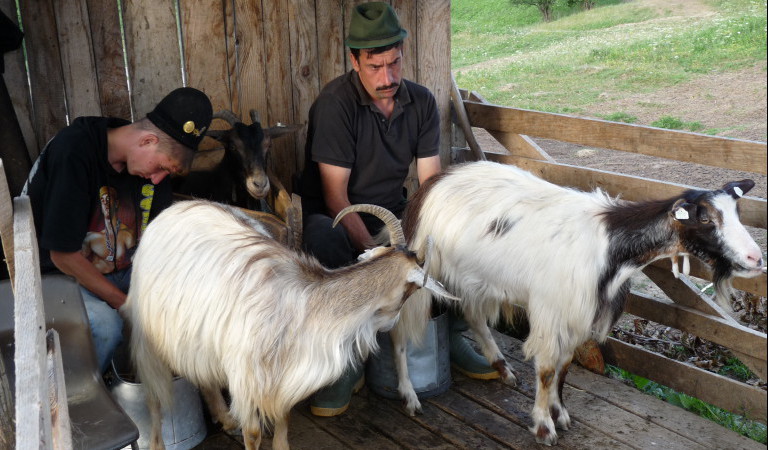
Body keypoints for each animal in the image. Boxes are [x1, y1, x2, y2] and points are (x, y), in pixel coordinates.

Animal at [124, 200, 456, 450]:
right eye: (409, 292)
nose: (392, 323)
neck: (306, 306)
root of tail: (172, 209)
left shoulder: (283, 375)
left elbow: (283, 421)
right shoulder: (247, 378)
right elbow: (253, 433)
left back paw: (226, 419)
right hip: (147, 334)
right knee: (154, 394)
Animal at [392, 160, 764, 444]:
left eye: (737, 212)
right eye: (705, 218)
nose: (755, 258)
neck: (610, 245)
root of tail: (432, 183)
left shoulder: (577, 313)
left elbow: (565, 365)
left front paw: (559, 411)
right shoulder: (551, 309)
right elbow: (546, 369)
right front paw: (544, 426)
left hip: (477, 277)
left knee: (473, 315)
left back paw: (502, 367)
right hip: (421, 271)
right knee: (399, 333)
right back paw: (409, 396)